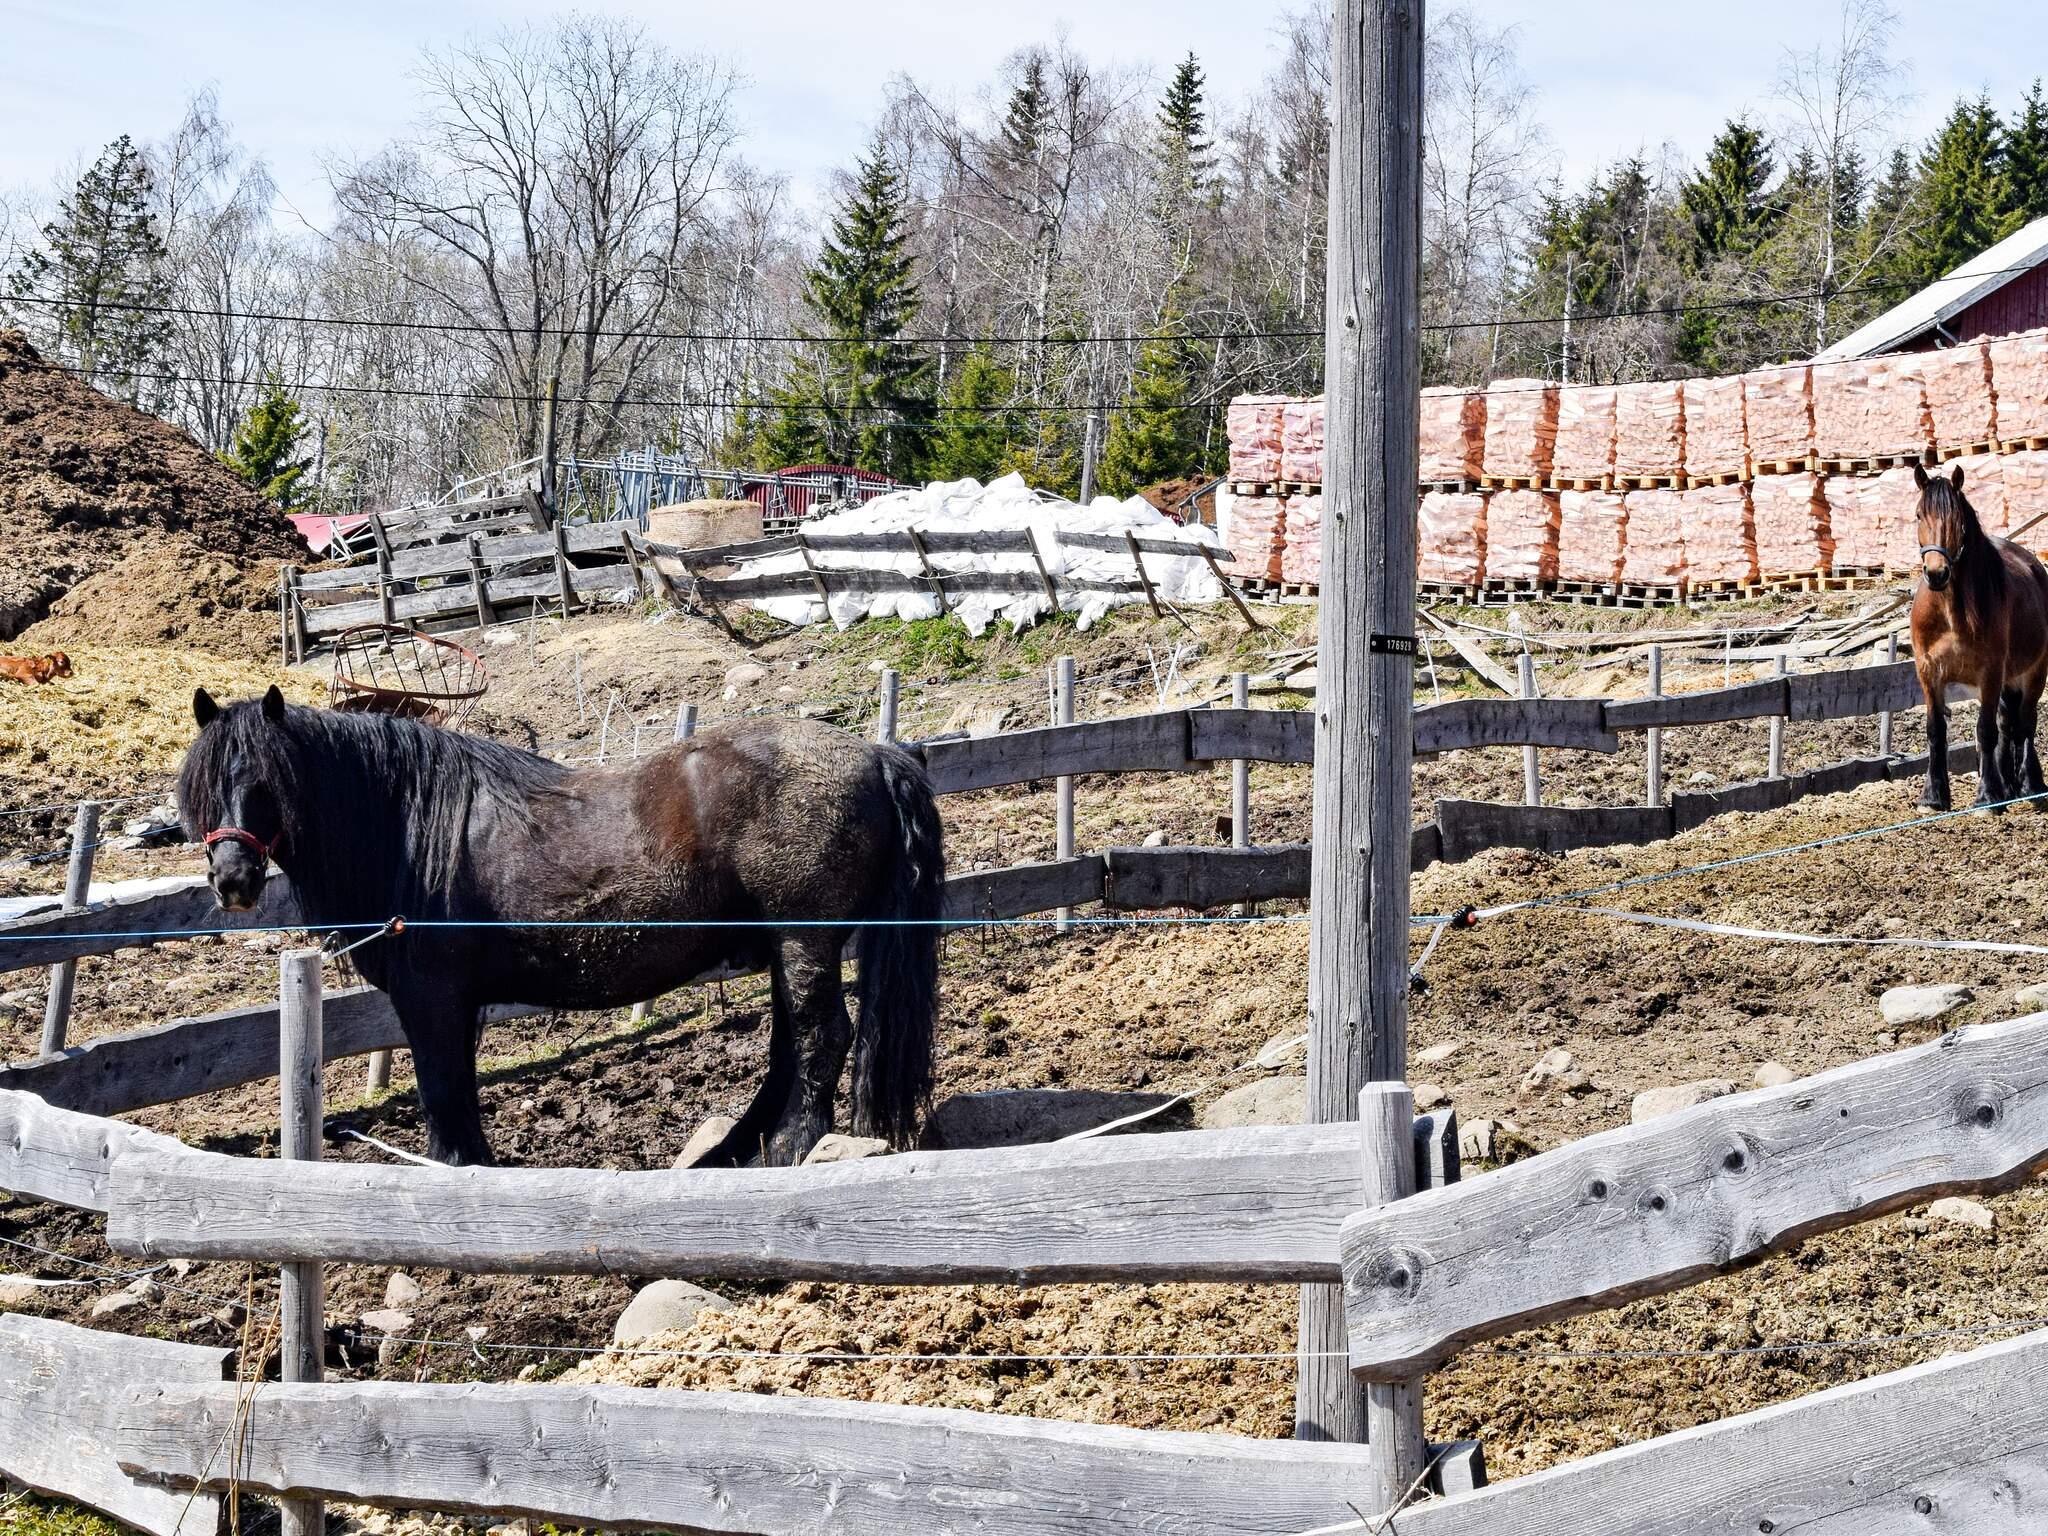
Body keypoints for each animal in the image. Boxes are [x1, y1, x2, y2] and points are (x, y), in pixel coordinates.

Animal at [177, 686, 945, 1168]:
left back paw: (788, 1150)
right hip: (788, 948)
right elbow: (455, 1086)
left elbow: (441, 1087)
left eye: (271, 783)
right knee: (791, 1044)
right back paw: (736, 1149)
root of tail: (878, 755)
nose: (233, 880)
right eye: (206, 786)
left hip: (803, 939)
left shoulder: (430, 998)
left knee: (822, 1038)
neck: (409, 825)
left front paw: (455, 1167)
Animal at [1910, 462, 2048, 812]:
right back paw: (2010, 784)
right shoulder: (1928, 672)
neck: (1949, 611)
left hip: (2035, 672)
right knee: (2009, 722)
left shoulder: (1990, 673)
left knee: (2025, 722)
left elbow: (1985, 730)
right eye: (1919, 515)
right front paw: (1933, 796)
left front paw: (1987, 794)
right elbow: (1936, 730)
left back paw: (2029, 783)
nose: (1936, 573)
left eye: (1957, 518)